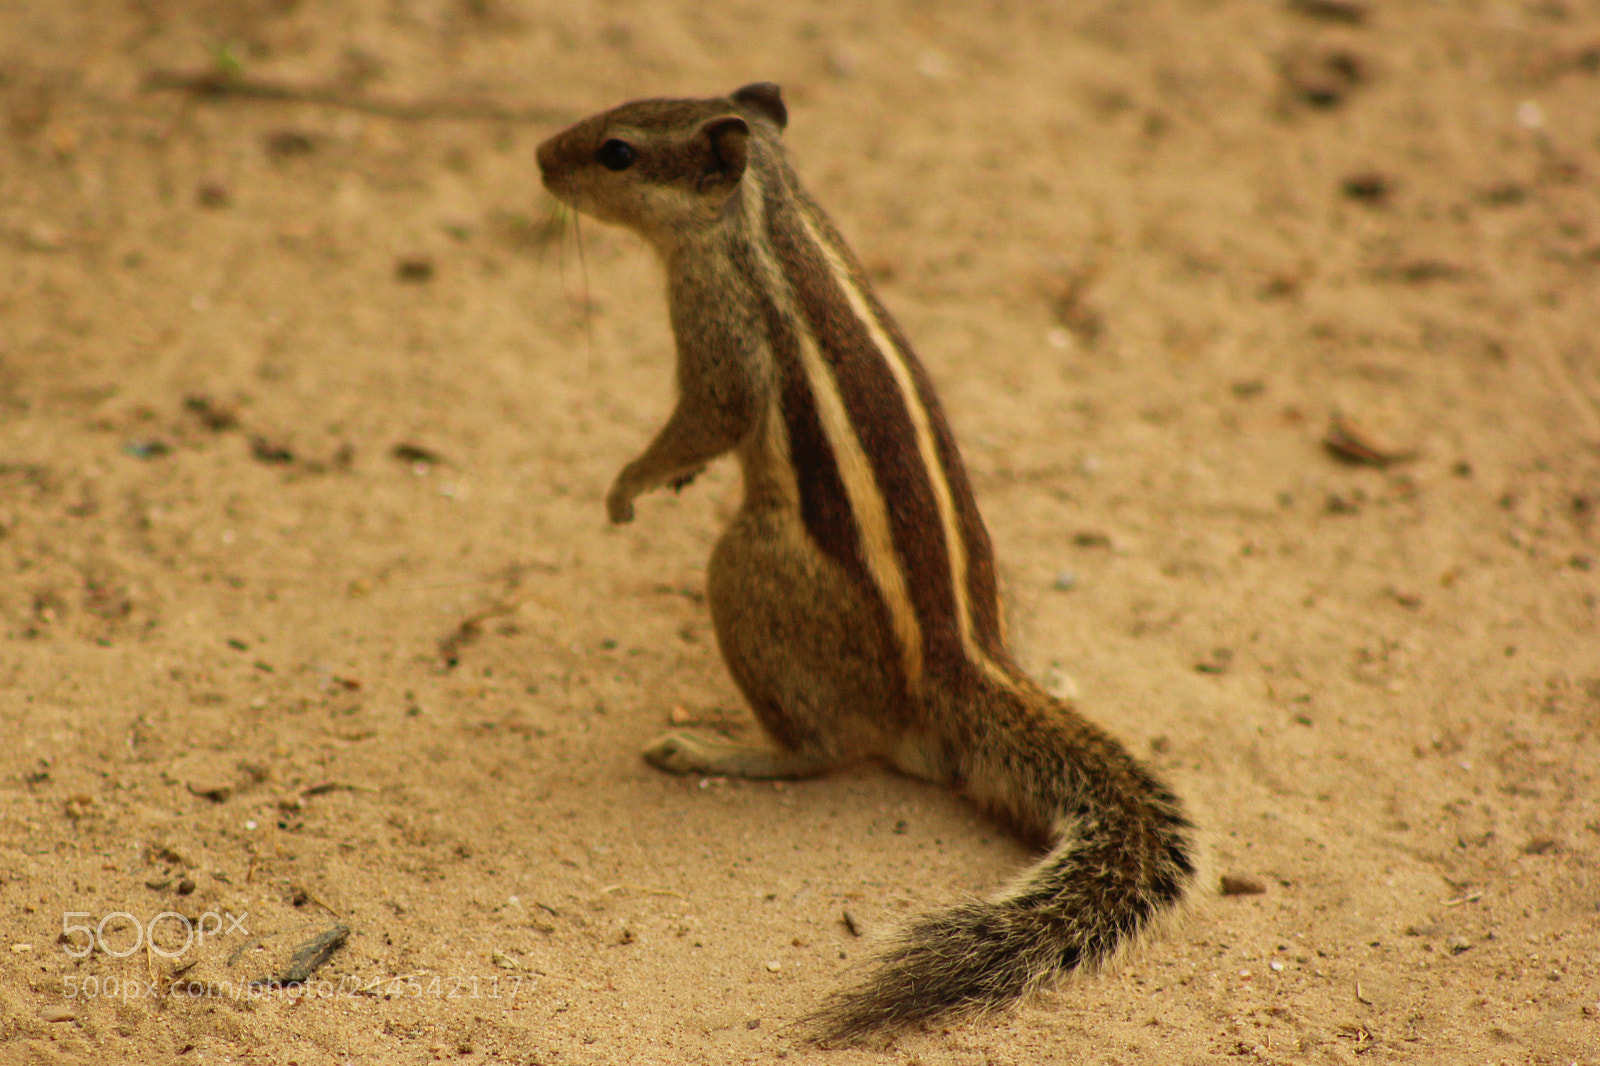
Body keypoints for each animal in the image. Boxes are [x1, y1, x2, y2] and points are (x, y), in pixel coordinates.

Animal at [536, 83, 1195, 1044]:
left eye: (615, 150)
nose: (540, 159)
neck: (768, 212)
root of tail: (964, 668)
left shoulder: (716, 335)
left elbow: (702, 418)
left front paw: (627, 486)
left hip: (743, 571)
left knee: (819, 750)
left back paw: (714, 748)